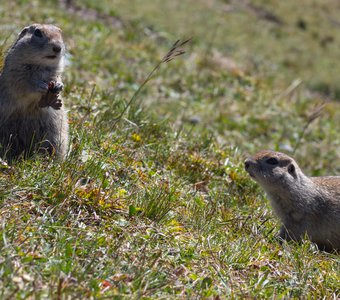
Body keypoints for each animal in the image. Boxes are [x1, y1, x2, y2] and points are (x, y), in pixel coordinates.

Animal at [0, 23, 68, 161]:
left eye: (60, 33)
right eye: (37, 33)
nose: (57, 47)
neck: (41, 65)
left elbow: (57, 77)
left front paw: (59, 85)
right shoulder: (15, 72)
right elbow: (24, 82)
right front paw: (40, 85)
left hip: (56, 136)